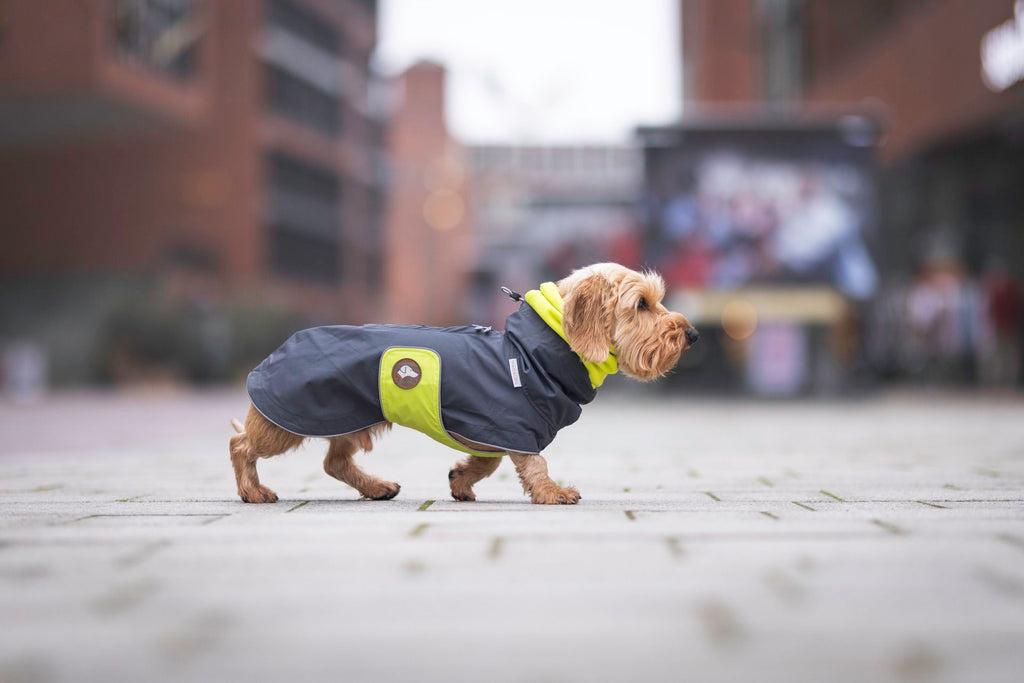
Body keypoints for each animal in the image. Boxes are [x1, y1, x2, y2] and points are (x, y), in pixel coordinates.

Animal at [229, 264, 700, 505]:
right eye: (642, 304)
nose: (692, 334)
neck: (531, 352)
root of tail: (281, 347)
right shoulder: (516, 426)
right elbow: (536, 465)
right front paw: (552, 492)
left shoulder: (493, 429)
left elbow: (486, 464)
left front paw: (460, 480)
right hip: (289, 420)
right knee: (241, 445)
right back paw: (253, 490)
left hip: (348, 418)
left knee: (334, 463)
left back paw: (376, 486)